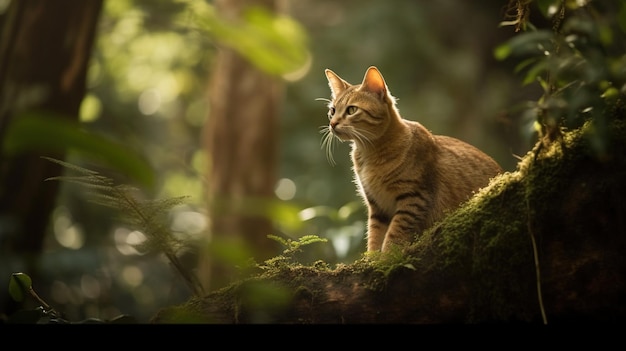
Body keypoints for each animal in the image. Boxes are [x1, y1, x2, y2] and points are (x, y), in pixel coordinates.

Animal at [320, 66, 500, 253]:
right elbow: (375, 237)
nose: (332, 124)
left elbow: (394, 234)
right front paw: (372, 257)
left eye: (351, 110)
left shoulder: (414, 198)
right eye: (332, 111)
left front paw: (387, 257)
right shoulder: (377, 207)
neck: (370, 154)